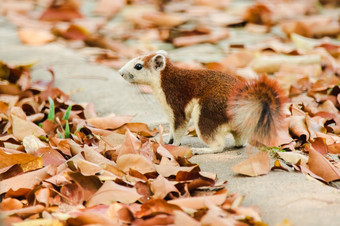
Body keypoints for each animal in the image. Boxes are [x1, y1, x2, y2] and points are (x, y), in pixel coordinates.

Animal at [118, 50, 286, 154]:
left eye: (138, 66)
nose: (120, 73)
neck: (164, 79)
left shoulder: (175, 103)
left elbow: (178, 128)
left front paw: (173, 145)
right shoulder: (169, 112)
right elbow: (172, 129)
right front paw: (168, 139)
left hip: (206, 113)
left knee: (218, 146)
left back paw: (202, 150)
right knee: (240, 138)